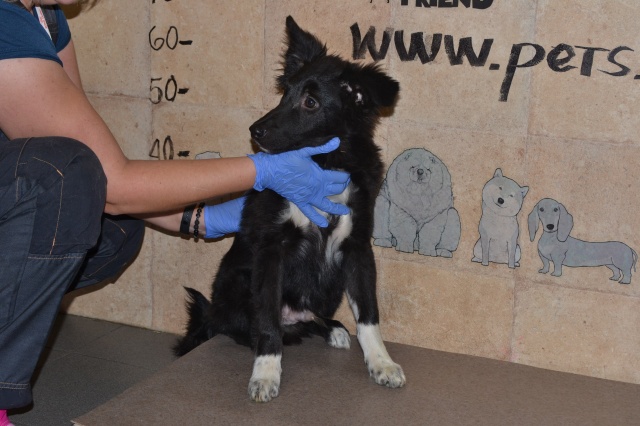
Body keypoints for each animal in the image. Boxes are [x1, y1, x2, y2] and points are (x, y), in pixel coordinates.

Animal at [173, 16, 405, 403]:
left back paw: (332, 328)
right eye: (285, 93)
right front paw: (266, 373)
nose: (255, 131)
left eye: (311, 102)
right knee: (251, 327)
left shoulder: (357, 247)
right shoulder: (271, 249)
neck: (326, 162)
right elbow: (267, 320)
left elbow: (369, 314)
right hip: (238, 286)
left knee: (311, 319)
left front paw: (381, 363)